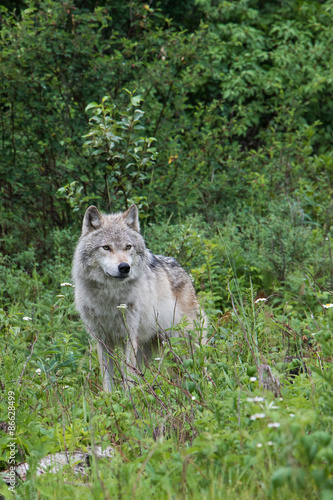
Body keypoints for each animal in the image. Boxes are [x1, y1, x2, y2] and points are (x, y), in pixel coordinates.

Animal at [72, 203, 205, 390]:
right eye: (106, 247)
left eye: (128, 247)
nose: (124, 267)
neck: (110, 298)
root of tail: (184, 271)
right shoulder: (102, 340)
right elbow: (108, 379)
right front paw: (109, 397)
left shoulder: (129, 337)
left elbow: (128, 377)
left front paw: (129, 397)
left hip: (183, 344)